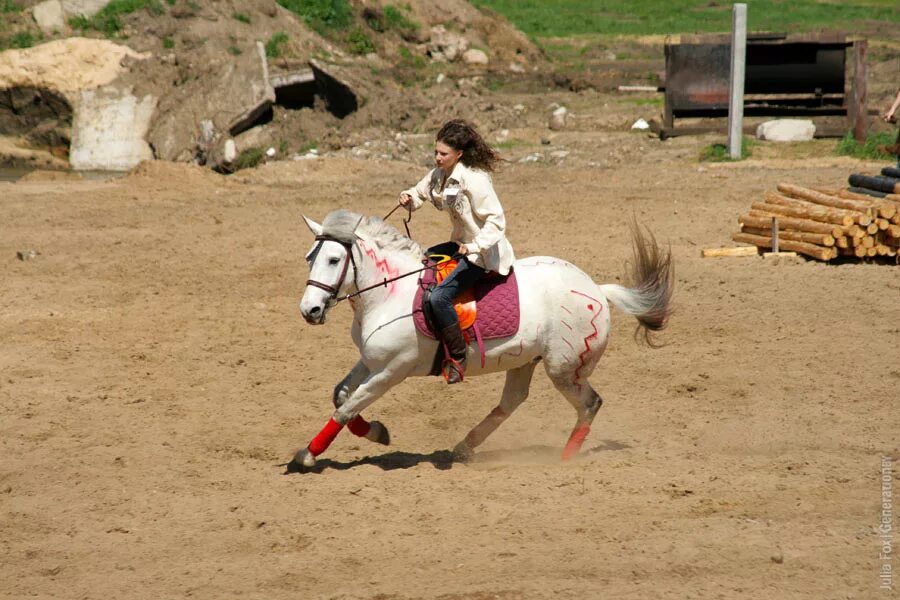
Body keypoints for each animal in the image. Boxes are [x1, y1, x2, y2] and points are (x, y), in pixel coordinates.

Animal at [292, 209, 672, 472]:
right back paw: (464, 447)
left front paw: (307, 455)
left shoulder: (393, 370)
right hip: (525, 361)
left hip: (564, 370)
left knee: (590, 404)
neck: (389, 294)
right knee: (512, 402)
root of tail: (597, 290)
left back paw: (565, 459)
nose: (309, 310)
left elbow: (348, 406)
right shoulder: (371, 361)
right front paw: (376, 432)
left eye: (334, 259)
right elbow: (342, 396)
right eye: (310, 257)